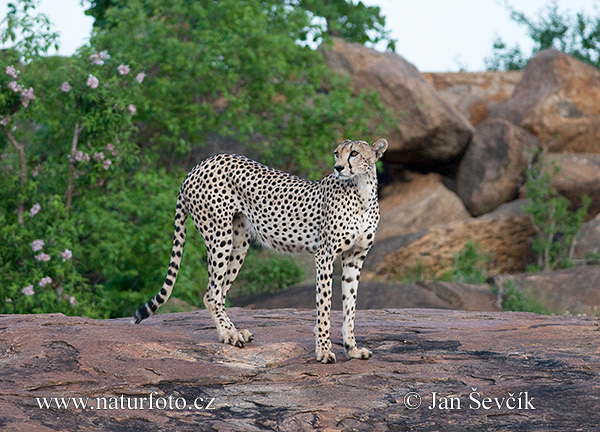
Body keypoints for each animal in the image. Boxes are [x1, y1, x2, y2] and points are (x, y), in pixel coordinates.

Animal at [133, 138, 386, 362]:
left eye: (354, 153)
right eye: (336, 153)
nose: (338, 168)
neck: (362, 191)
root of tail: (199, 165)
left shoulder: (355, 257)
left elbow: (350, 306)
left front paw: (352, 349)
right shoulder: (325, 256)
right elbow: (324, 308)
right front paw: (323, 351)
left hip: (239, 240)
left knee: (218, 292)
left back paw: (231, 332)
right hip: (219, 234)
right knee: (211, 294)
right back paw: (230, 334)